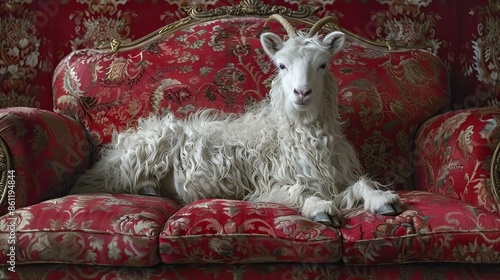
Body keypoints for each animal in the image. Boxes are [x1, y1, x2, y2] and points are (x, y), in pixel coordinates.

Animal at [70, 14, 400, 226]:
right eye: (281, 65)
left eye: (322, 64)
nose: (302, 92)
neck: (293, 134)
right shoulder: (266, 186)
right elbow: (299, 191)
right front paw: (320, 207)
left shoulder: (336, 176)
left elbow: (361, 184)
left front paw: (382, 200)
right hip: (145, 150)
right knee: (103, 182)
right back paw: (146, 188)